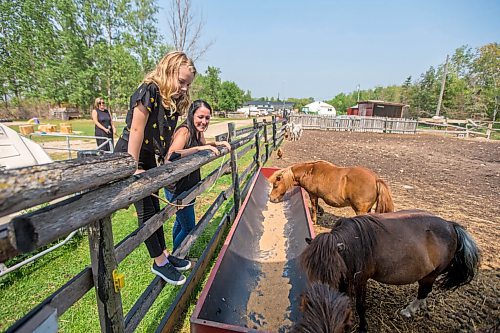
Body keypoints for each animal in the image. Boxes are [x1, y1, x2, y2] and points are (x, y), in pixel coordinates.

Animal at [300, 210, 480, 332]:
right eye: (311, 270)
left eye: (332, 272)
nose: (319, 301)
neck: (355, 243)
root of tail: (451, 225)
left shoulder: (360, 279)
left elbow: (360, 305)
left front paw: (363, 326)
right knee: (425, 292)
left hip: (431, 274)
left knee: (424, 290)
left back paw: (409, 310)